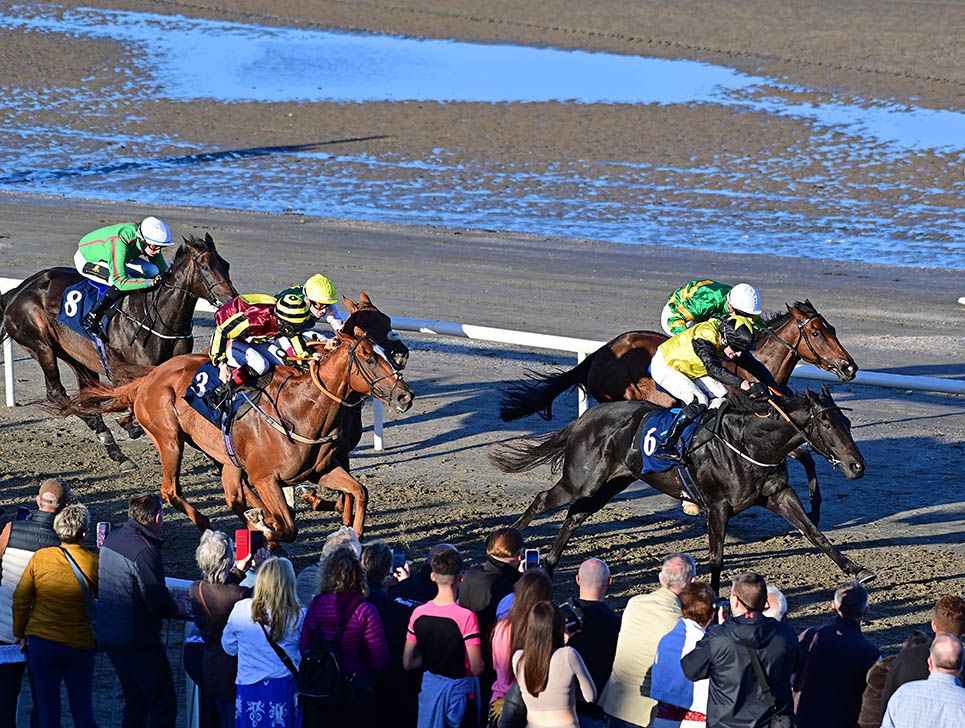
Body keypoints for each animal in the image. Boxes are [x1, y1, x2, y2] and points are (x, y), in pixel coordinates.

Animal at [0, 235, 235, 472]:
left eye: (226, 265)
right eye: (205, 267)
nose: (231, 300)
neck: (159, 320)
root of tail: (16, 292)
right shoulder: (121, 369)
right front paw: (132, 425)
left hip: (75, 356)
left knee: (86, 397)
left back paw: (116, 450)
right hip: (41, 343)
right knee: (59, 394)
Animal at [56, 328, 410, 540]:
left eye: (387, 354)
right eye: (368, 358)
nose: (405, 396)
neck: (300, 412)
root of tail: (150, 376)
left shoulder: (322, 470)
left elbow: (360, 491)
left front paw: (354, 535)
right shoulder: (267, 479)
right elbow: (287, 528)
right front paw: (267, 526)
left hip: (226, 458)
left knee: (233, 495)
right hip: (169, 440)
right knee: (171, 490)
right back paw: (208, 521)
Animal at [490, 386, 872, 592]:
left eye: (846, 421)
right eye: (826, 423)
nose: (857, 466)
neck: (749, 443)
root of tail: (583, 420)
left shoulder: (778, 494)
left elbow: (814, 533)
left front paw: (856, 569)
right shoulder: (718, 506)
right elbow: (716, 557)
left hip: (609, 484)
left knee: (574, 517)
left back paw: (549, 565)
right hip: (580, 481)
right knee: (543, 501)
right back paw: (504, 544)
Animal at [500, 302, 856, 524]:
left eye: (833, 328)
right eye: (817, 333)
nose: (849, 367)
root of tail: (598, 354)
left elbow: (807, 456)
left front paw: (814, 509)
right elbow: (804, 455)